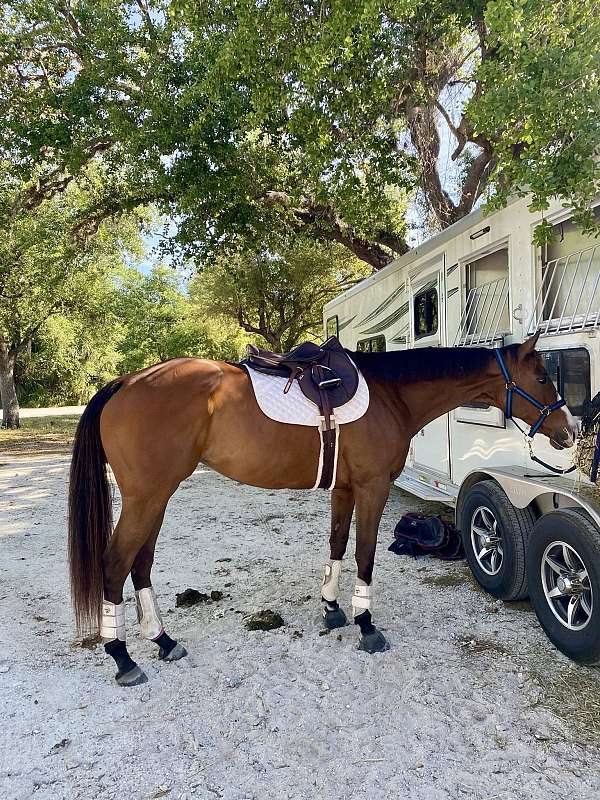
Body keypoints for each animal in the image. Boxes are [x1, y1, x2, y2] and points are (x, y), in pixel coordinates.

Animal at [68, 332, 578, 685]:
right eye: (543, 376)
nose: (570, 429)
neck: (391, 393)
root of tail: (126, 382)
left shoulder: (345, 488)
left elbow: (337, 543)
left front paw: (332, 609)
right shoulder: (373, 488)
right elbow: (365, 555)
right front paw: (366, 625)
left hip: (157, 497)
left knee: (141, 563)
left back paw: (163, 641)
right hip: (147, 497)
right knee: (115, 564)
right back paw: (123, 658)